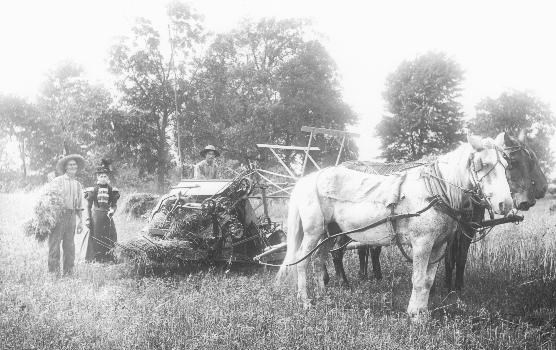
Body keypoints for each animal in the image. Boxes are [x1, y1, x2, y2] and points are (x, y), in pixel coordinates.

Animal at [276, 135, 516, 320]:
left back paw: (323, 295)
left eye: (505, 165)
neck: (435, 193)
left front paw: (423, 313)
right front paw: (414, 315)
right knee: (303, 262)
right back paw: (306, 301)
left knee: (320, 260)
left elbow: (428, 281)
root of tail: (307, 179)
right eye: (482, 164)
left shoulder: (438, 245)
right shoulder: (422, 243)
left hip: (331, 232)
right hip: (313, 232)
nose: (505, 204)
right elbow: (418, 280)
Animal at [326, 133, 548, 288]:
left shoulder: (466, 230)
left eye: (507, 162)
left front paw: (458, 287)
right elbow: (449, 259)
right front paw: (446, 288)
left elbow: (460, 259)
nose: (538, 194)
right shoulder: (451, 232)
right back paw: (342, 282)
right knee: (336, 251)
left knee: (362, 249)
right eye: (515, 162)